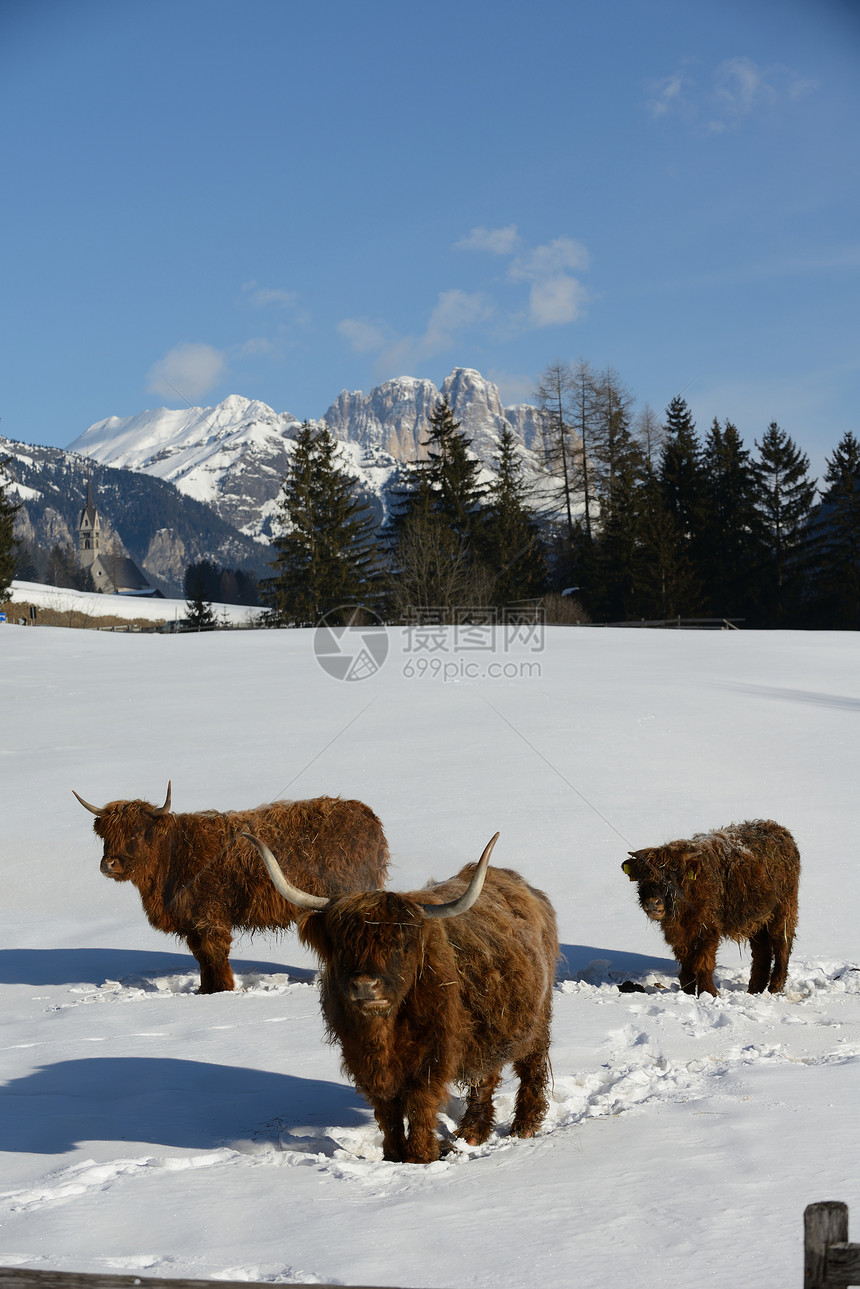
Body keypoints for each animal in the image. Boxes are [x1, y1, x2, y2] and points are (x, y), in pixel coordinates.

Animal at [74, 778, 389, 989]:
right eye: (107, 835)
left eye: (137, 833)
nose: (109, 864)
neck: (173, 856)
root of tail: (365, 814)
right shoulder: (192, 924)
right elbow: (202, 958)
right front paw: (205, 990)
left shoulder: (209, 918)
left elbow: (214, 955)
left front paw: (222, 990)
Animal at [244, 830, 562, 1165]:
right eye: (343, 946)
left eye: (400, 945)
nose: (365, 986)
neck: (384, 1032)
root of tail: (522, 885)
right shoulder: (363, 1059)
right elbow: (388, 1110)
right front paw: (393, 1155)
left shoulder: (433, 1055)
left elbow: (421, 1104)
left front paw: (420, 1156)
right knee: (485, 1075)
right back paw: (472, 1133)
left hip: (537, 1019)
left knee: (531, 1065)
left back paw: (524, 1126)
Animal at [626, 819, 799, 1000]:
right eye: (643, 878)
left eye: (671, 876)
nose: (653, 903)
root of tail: (779, 830)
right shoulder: (681, 935)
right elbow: (686, 966)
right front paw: (688, 992)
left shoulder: (708, 930)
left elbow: (703, 963)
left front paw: (708, 993)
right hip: (757, 920)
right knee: (761, 953)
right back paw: (754, 990)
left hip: (784, 910)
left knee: (782, 945)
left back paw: (774, 988)